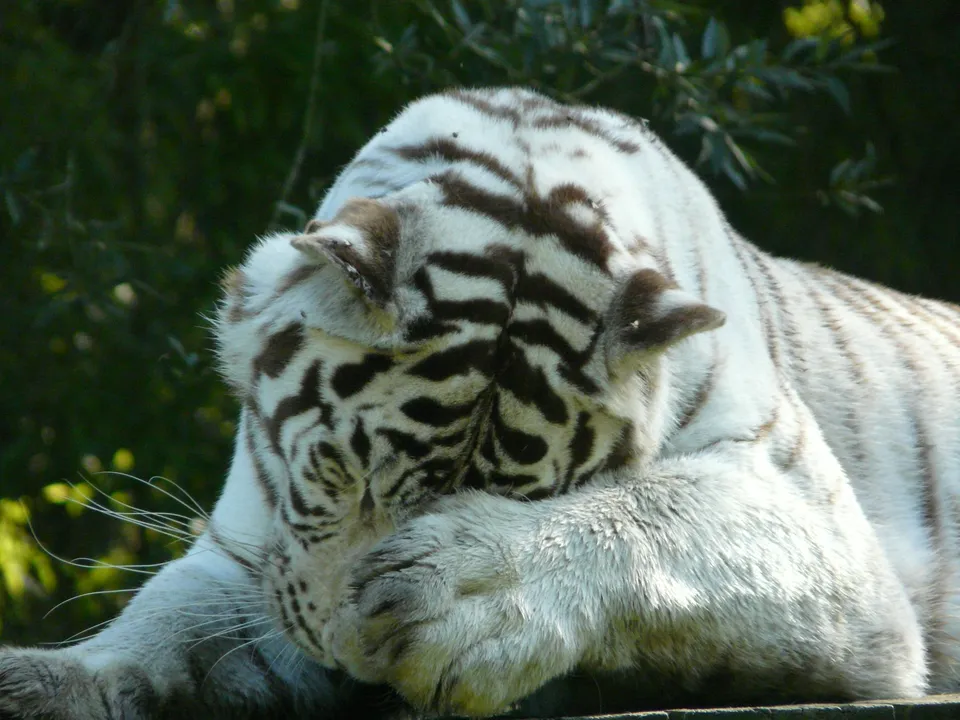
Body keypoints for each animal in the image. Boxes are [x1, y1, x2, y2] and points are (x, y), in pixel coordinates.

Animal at [2, 86, 959, 720]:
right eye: (343, 471)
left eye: (516, 498)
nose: (354, 670)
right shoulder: (251, 544)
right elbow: (166, 615)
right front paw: (49, 680)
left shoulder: (828, 536)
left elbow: (661, 516)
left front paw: (459, 593)